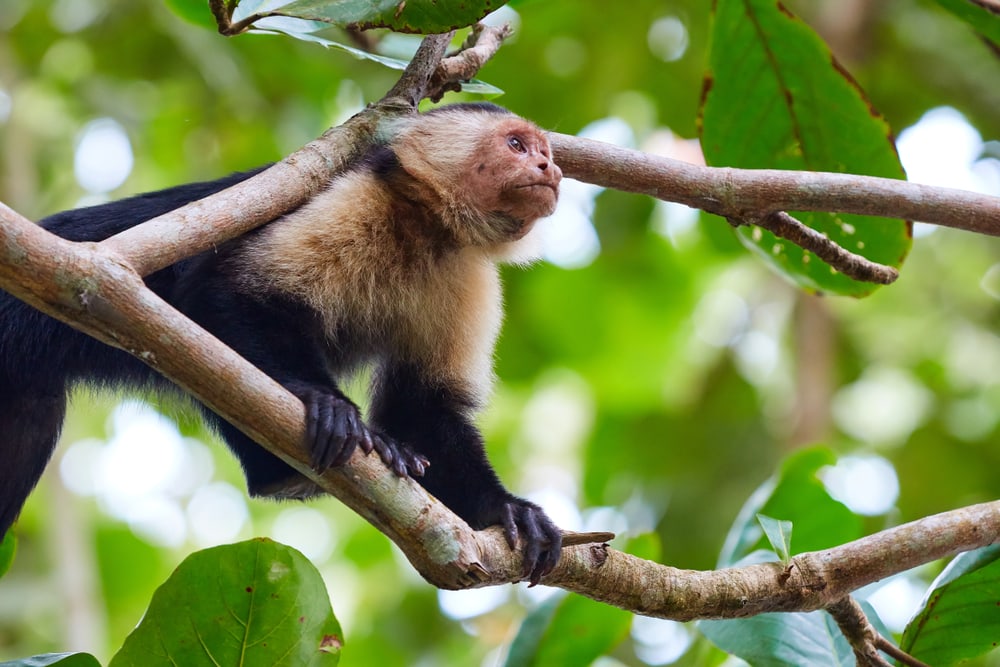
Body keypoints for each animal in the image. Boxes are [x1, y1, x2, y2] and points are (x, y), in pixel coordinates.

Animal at [0, 102, 563, 584]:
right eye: (517, 145)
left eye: (546, 151)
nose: (550, 168)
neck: (427, 227)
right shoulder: (351, 197)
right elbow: (220, 289)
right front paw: (327, 402)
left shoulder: (469, 273)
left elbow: (425, 406)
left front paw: (504, 508)